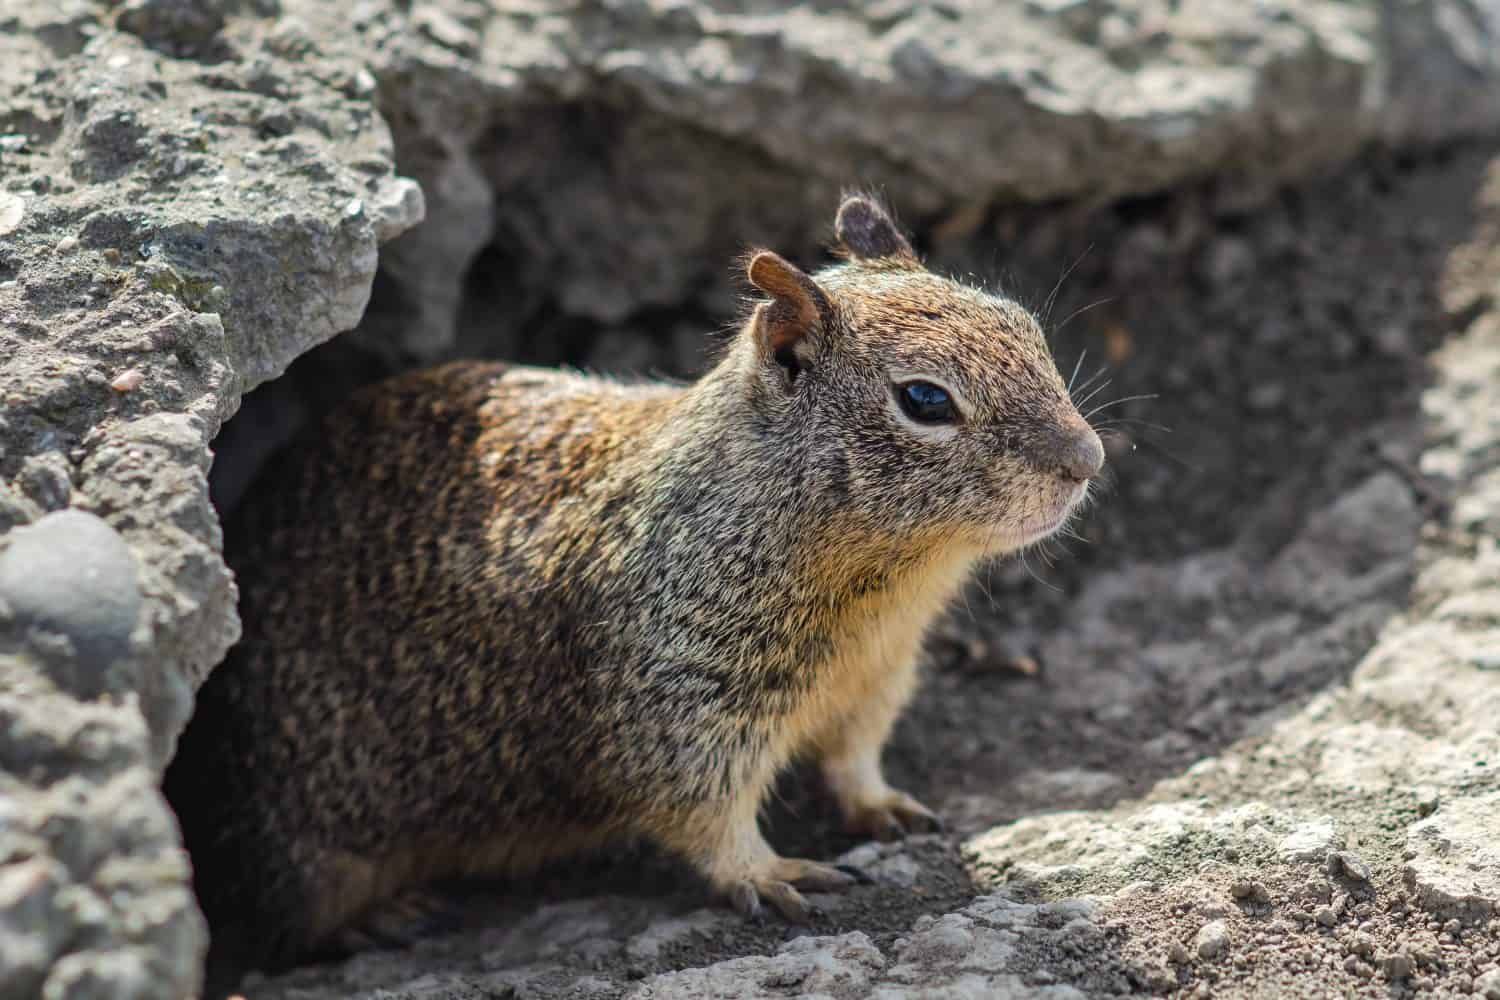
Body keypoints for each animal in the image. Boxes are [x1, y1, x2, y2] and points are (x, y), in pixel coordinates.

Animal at [163, 196, 1105, 991]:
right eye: (924, 400)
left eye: (1025, 326)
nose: (1088, 458)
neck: (882, 590)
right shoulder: (676, 705)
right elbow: (703, 813)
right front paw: (770, 872)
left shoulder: (876, 679)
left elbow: (854, 755)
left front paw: (882, 805)